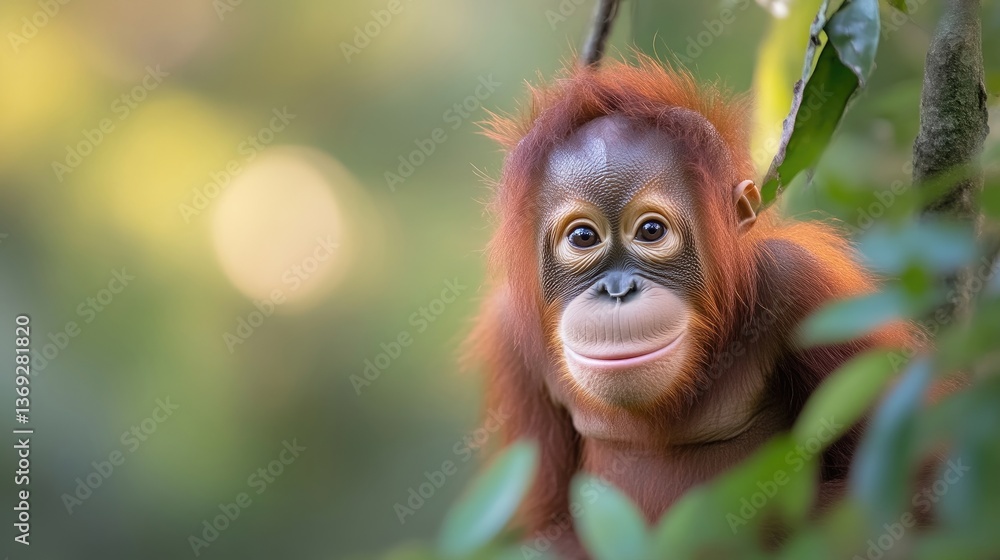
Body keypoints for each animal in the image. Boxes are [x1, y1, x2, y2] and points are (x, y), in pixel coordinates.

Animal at [467, 56, 915, 556]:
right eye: (583, 237)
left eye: (651, 231)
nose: (618, 290)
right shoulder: (511, 334)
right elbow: (548, 522)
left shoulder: (803, 284)